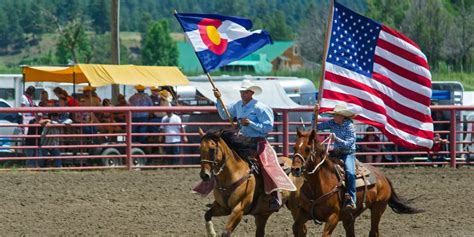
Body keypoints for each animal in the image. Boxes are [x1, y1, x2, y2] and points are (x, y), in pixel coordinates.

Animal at [292, 129, 422, 236]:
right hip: (349, 217)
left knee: (374, 232)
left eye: (308, 148)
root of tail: (383, 176)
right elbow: (296, 227)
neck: (317, 187)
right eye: (294, 148)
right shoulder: (304, 212)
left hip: (378, 208)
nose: (295, 169)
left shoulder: (333, 217)